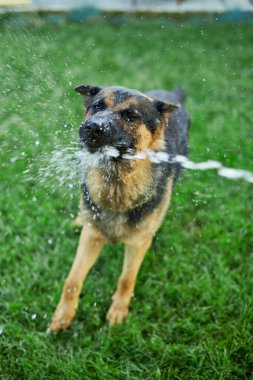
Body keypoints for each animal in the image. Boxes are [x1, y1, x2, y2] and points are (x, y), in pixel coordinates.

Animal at [50, 84, 190, 332]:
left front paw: (118, 310)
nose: (92, 127)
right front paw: (64, 315)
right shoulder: (92, 236)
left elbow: (126, 279)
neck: (117, 182)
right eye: (97, 106)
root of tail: (171, 95)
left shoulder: (138, 243)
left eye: (131, 116)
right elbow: (72, 280)